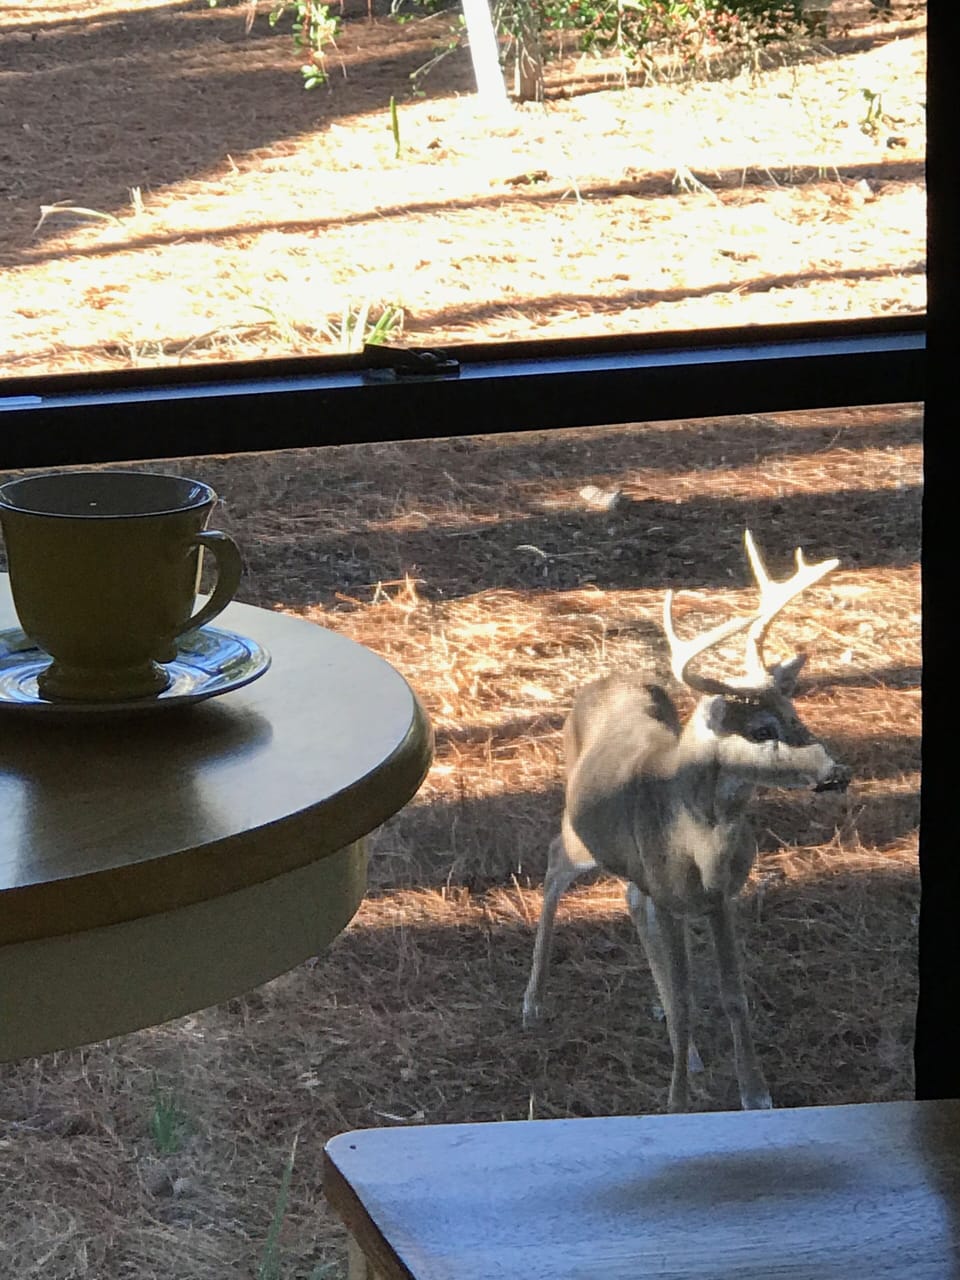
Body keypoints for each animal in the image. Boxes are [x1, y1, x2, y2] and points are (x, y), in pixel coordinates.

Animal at [522, 530, 850, 1113]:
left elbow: (731, 994)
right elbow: (687, 999)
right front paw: (676, 1101)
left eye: (796, 715)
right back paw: (533, 1000)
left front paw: (755, 1093)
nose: (837, 772)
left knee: (631, 900)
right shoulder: (674, 898)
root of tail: (601, 681)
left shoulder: (720, 899)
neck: (702, 839)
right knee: (556, 863)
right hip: (582, 837)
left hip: (637, 870)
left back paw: (687, 1050)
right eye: (762, 730)